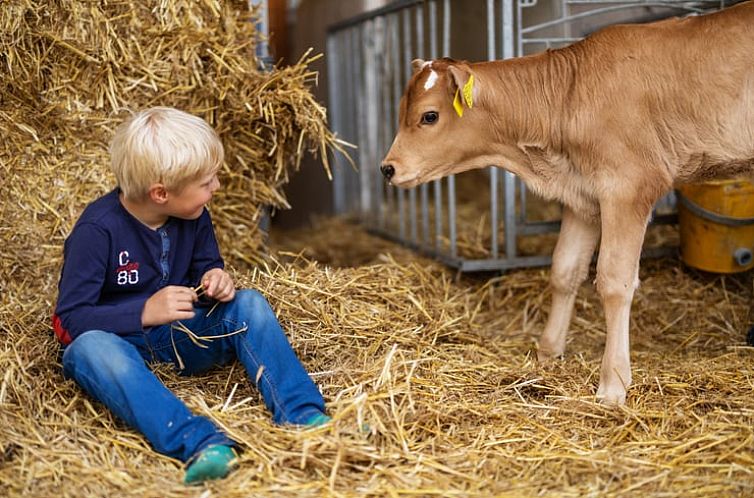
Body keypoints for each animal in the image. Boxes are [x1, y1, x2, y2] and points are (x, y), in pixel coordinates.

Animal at [378, 0, 752, 404]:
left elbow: (614, 280)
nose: (387, 168)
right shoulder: (582, 196)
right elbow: (564, 270)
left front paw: (613, 384)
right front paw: (547, 353)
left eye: (429, 115)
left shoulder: (628, 186)